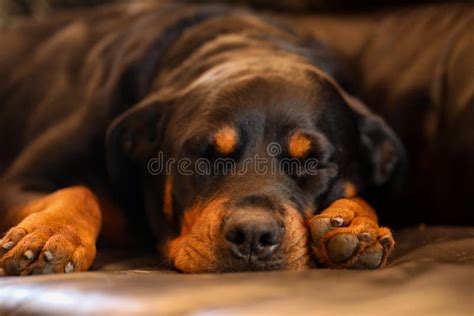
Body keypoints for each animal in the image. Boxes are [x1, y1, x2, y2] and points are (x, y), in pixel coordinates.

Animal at [0, 1, 466, 274]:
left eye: (313, 162)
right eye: (204, 157)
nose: (253, 236)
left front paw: (355, 220)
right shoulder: (18, 179)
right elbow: (78, 191)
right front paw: (51, 234)